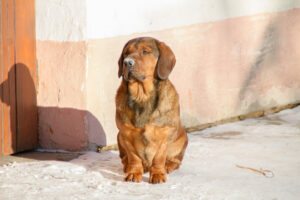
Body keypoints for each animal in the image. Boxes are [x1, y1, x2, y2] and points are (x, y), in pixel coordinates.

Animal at [115, 36, 188, 184]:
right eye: (126, 53)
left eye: (145, 52)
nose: (127, 62)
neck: (141, 96)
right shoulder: (126, 134)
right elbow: (134, 157)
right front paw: (134, 172)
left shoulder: (164, 135)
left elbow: (159, 158)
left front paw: (158, 173)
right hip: (118, 136)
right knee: (124, 158)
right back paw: (127, 166)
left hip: (182, 138)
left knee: (176, 161)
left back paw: (168, 166)